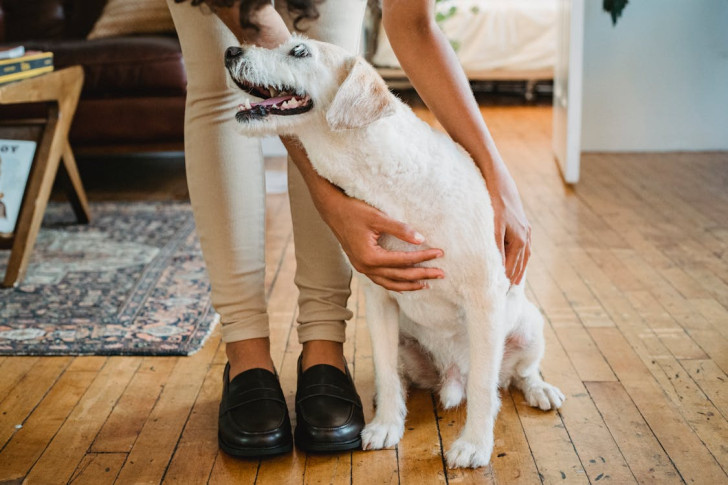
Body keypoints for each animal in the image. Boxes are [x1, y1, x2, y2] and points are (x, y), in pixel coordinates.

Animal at [225, 36, 564, 466]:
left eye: (299, 51)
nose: (230, 52)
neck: (390, 181)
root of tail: (452, 375)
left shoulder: (484, 300)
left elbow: (485, 388)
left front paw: (474, 444)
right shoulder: (380, 300)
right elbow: (386, 373)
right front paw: (387, 424)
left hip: (529, 327)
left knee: (519, 373)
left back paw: (540, 390)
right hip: (407, 342)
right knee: (404, 377)